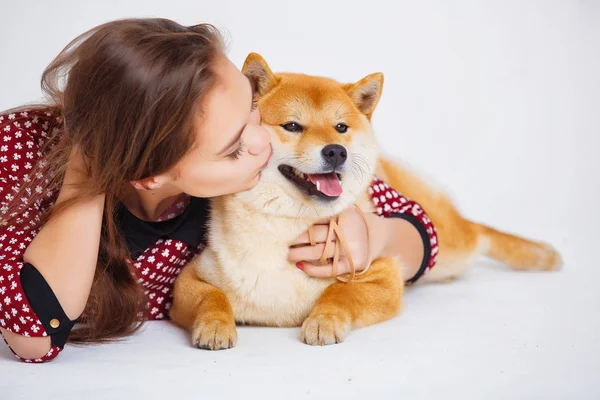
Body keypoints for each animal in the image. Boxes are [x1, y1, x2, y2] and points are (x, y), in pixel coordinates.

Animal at [170, 52, 564, 346]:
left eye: (341, 127)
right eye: (293, 126)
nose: (336, 151)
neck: (288, 228)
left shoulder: (382, 273)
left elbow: (340, 295)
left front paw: (324, 319)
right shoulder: (191, 277)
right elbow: (212, 297)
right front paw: (215, 325)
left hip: (450, 244)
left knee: (476, 231)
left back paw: (539, 254)